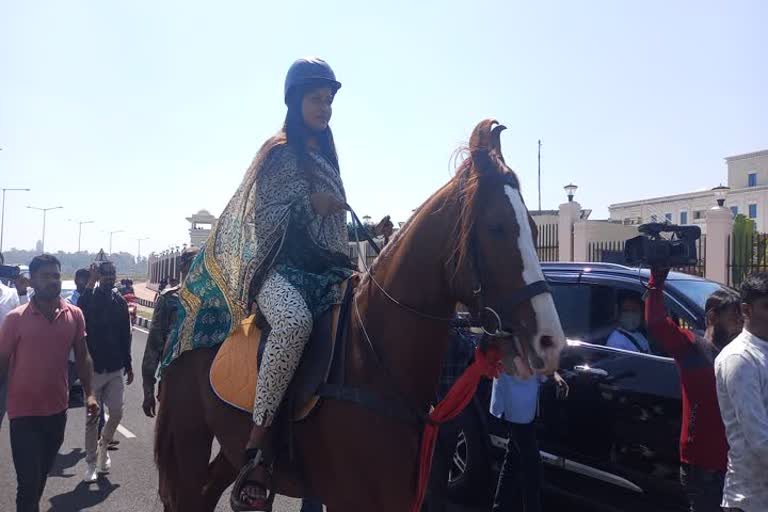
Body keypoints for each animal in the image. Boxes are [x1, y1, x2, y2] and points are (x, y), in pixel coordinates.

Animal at [154, 119, 564, 512]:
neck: (371, 361)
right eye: (496, 227)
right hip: (189, 434)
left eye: (533, 228)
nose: (550, 340)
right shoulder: (347, 498)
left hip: (229, 445)